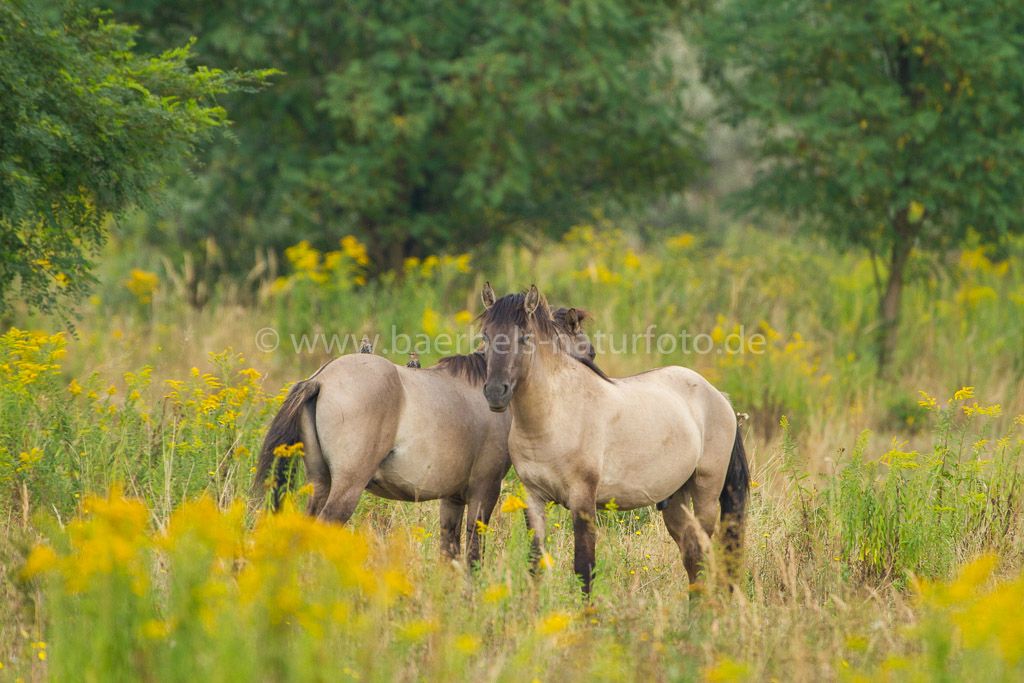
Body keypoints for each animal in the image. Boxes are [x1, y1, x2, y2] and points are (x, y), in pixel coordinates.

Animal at [251, 307, 598, 565]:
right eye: (589, 351)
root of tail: (321, 379)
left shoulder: (452, 498)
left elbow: (449, 554)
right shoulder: (484, 490)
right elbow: (473, 554)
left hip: (320, 483)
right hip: (346, 488)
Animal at [475, 282, 749, 593]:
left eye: (525, 338)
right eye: (485, 336)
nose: (495, 392)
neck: (554, 415)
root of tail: (719, 396)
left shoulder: (583, 500)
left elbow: (584, 568)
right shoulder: (534, 498)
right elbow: (535, 565)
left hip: (706, 494)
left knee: (703, 552)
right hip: (676, 498)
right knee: (691, 555)